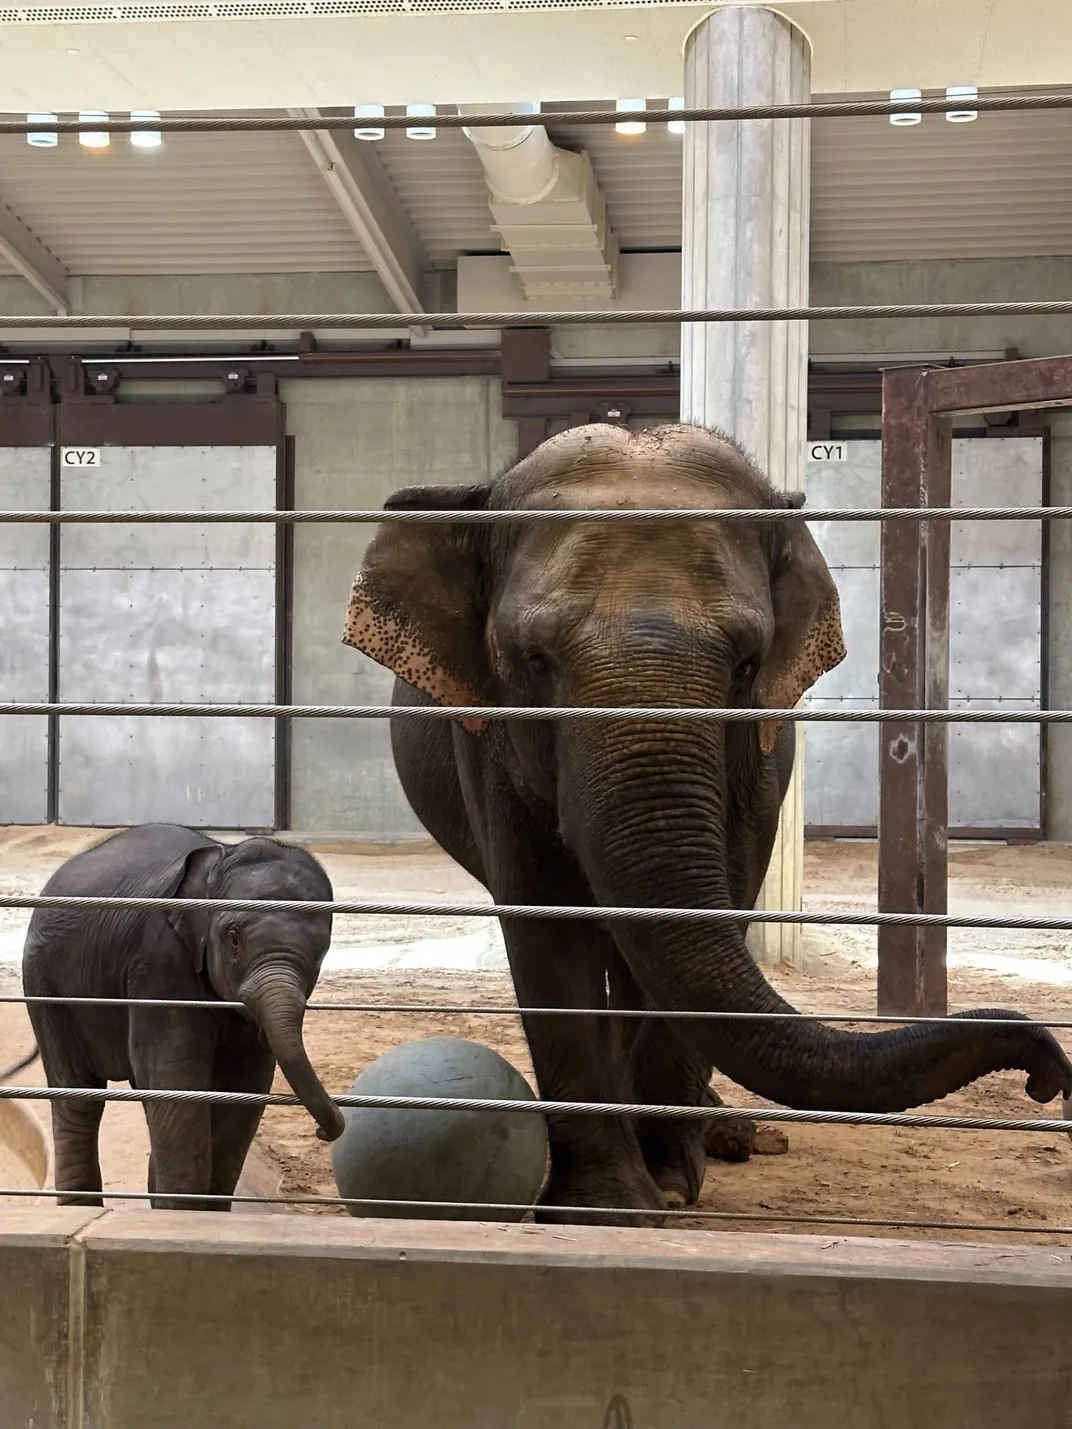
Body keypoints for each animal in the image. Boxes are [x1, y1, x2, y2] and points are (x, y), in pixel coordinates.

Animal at [4, 823, 344, 1210]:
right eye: (233, 939)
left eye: (322, 952)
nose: (322, 1132)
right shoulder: (159, 962)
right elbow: (177, 1077)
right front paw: (186, 1214)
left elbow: (245, 1086)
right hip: (47, 985)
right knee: (78, 1097)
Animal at [341, 422, 1072, 1225]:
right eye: (534, 659)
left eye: (748, 662)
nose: (1049, 1075)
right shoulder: (485, 737)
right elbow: (544, 917)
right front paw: (607, 1208)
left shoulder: (765, 750)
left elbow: (727, 891)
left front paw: (666, 1180)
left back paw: (728, 1135)